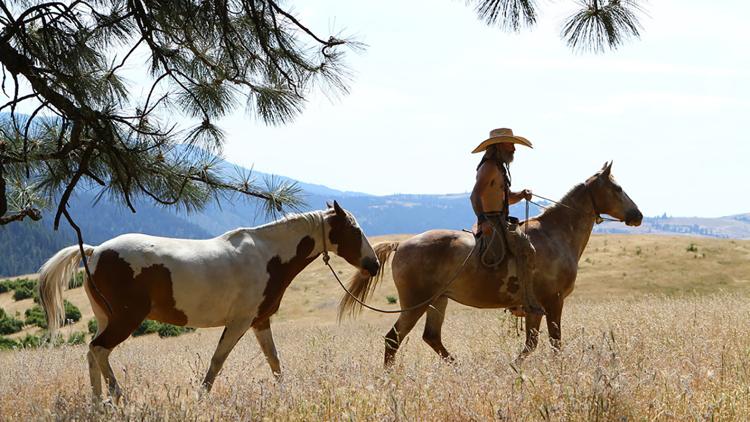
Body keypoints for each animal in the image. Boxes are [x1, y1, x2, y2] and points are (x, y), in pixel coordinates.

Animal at [38, 203, 378, 400]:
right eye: (354, 230)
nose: (373, 265)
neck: (266, 256)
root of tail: (95, 251)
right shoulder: (240, 322)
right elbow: (218, 360)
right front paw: (201, 397)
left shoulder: (259, 321)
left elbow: (274, 360)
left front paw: (285, 392)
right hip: (125, 319)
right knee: (99, 350)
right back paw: (119, 397)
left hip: (107, 318)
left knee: (91, 353)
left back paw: (98, 402)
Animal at [340, 162, 640, 366]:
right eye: (617, 188)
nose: (637, 215)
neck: (556, 234)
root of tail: (401, 245)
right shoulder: (553, 301)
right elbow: (554, 342)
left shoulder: (535, 309)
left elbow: (531, 343)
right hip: (416, 304)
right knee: (393, 338)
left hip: (438, 301)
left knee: (431, 337)